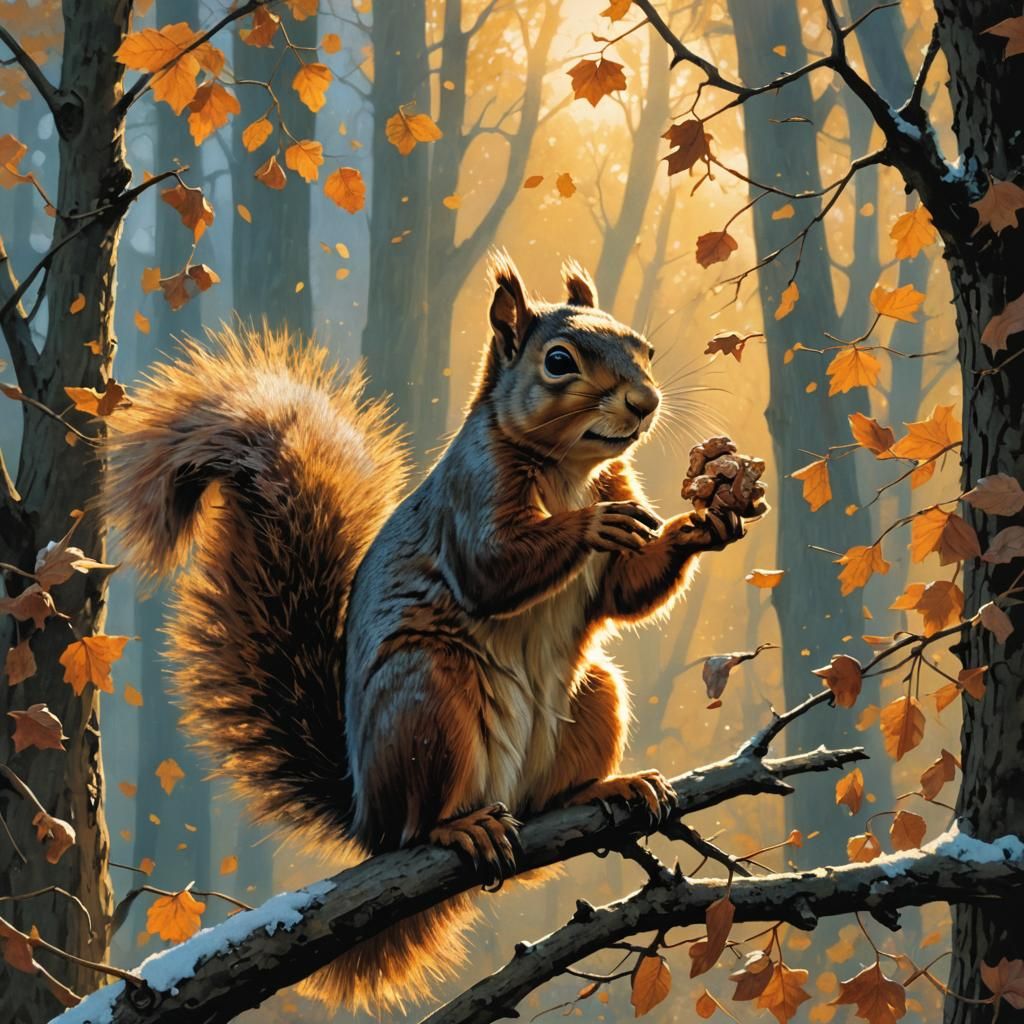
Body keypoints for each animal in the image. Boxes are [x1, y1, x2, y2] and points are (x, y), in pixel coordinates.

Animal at [104, 252, 763, 1012]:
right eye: (558, 362)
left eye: (644, 349)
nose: (644, 402)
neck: (570, 470)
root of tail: (366, 815)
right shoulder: (472, 497)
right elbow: (493, 569)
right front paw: (589, 526)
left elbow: (625, 590)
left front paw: (709, 522)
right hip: (429, 697)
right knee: (422, 820)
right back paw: (460, 826)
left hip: (592, 696)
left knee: (548, 794)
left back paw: (605, 789)